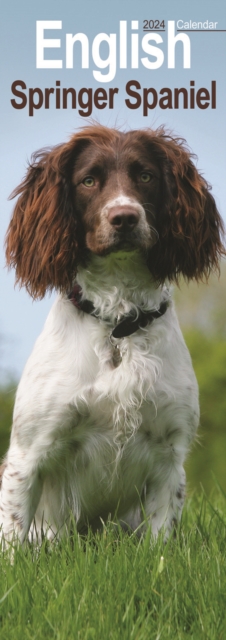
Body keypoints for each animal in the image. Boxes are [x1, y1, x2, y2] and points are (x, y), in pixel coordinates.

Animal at [0, 125, 224, 544]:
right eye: (88, 181)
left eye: (146, 176)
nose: (124, 217)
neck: (118, 323)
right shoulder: (28, 452)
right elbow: (14, 536)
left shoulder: (170, 454)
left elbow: (159, 541)